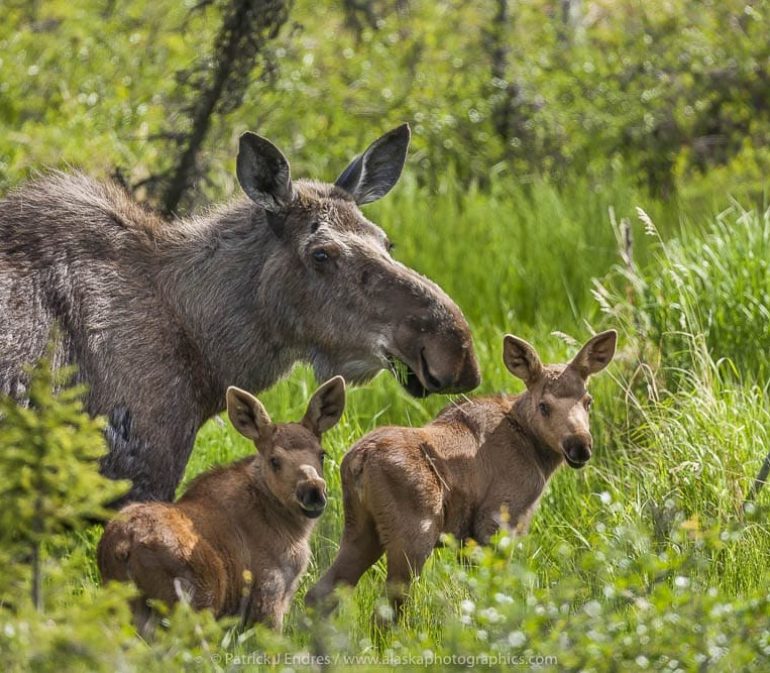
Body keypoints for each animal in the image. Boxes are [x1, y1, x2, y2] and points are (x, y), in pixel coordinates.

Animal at [97, 376, 345, 634]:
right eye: (275, 460)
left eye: (322, 454)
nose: (313, 491)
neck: (292, 529)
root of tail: (123, 546)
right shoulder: (269, 591)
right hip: (190, 604)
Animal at [306, 330, 617, 618]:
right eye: (544, 406)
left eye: (588, 401)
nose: (580, 446)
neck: (535, 451)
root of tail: (358, 461)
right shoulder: (496, 519)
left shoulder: (467, 538)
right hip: (414, 533)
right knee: (388, 606)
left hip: (360, 528)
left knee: (321, 592)